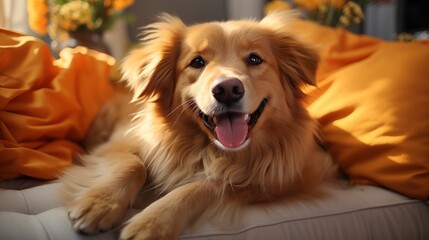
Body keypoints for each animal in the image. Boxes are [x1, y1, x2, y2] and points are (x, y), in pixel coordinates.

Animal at [61, 11, 336, 240]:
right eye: (197, 62)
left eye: (254, 59)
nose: (228, 89)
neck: (209, 150)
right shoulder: (113, 145)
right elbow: (133, 164)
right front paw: (100, 204)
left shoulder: (280, 182)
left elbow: (208, 185)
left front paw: (152, 222)